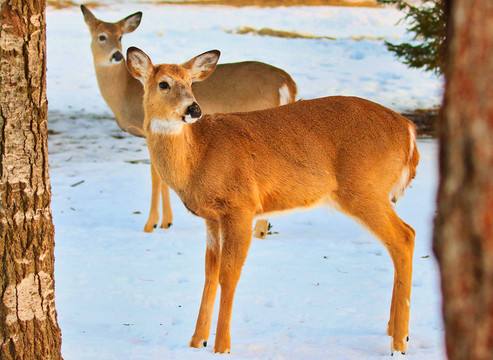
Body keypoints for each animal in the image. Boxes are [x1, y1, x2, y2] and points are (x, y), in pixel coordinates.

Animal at [80, 4, 296, 239]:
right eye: (102, 36)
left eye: (120, 36)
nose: (117, 55)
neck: (124, 91)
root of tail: (287, 83)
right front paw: (166, 221)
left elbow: (156, 175)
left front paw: (153, 224)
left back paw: (259, 231)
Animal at [126, 46, 418, 356]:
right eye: (163, 83)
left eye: (191, 83)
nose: (194, 109)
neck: (197, 157)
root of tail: (409, 131)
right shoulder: (212, 217)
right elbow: (209, 272)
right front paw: (196, 341)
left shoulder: (241, 206)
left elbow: (228, 274)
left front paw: (222, 346)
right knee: (400, 240)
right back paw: (393, 331)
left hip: (364, 189)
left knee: (405, 237)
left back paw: (399, 342)